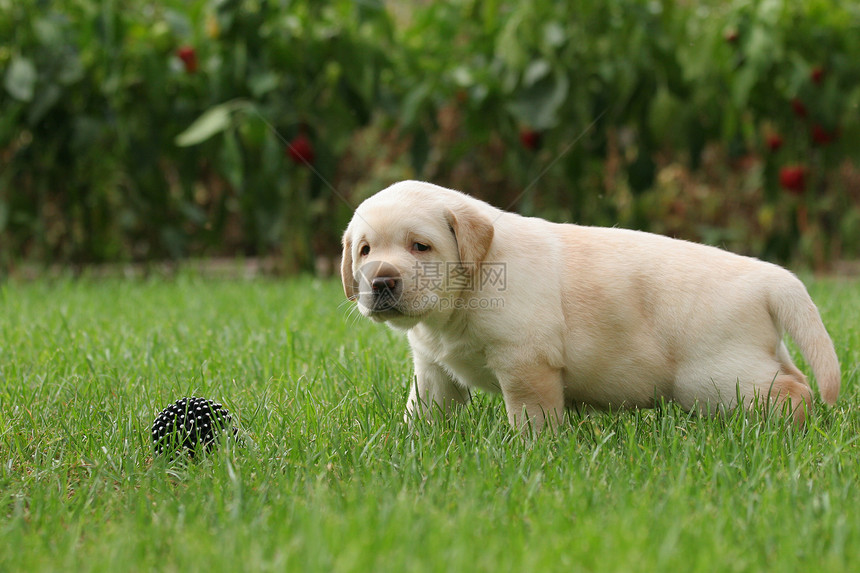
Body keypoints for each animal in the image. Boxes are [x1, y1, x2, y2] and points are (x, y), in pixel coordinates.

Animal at [340, 179, 836, 428]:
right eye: (364, 250)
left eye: (420, 246)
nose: (381, 282)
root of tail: (768, 277)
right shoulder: (433, 369)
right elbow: (424, 411)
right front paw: (411, 446)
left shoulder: (526, 361)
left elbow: (531, 415)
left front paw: (531, 453)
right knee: (791, 377)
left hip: (714, 377)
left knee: (794, 391)